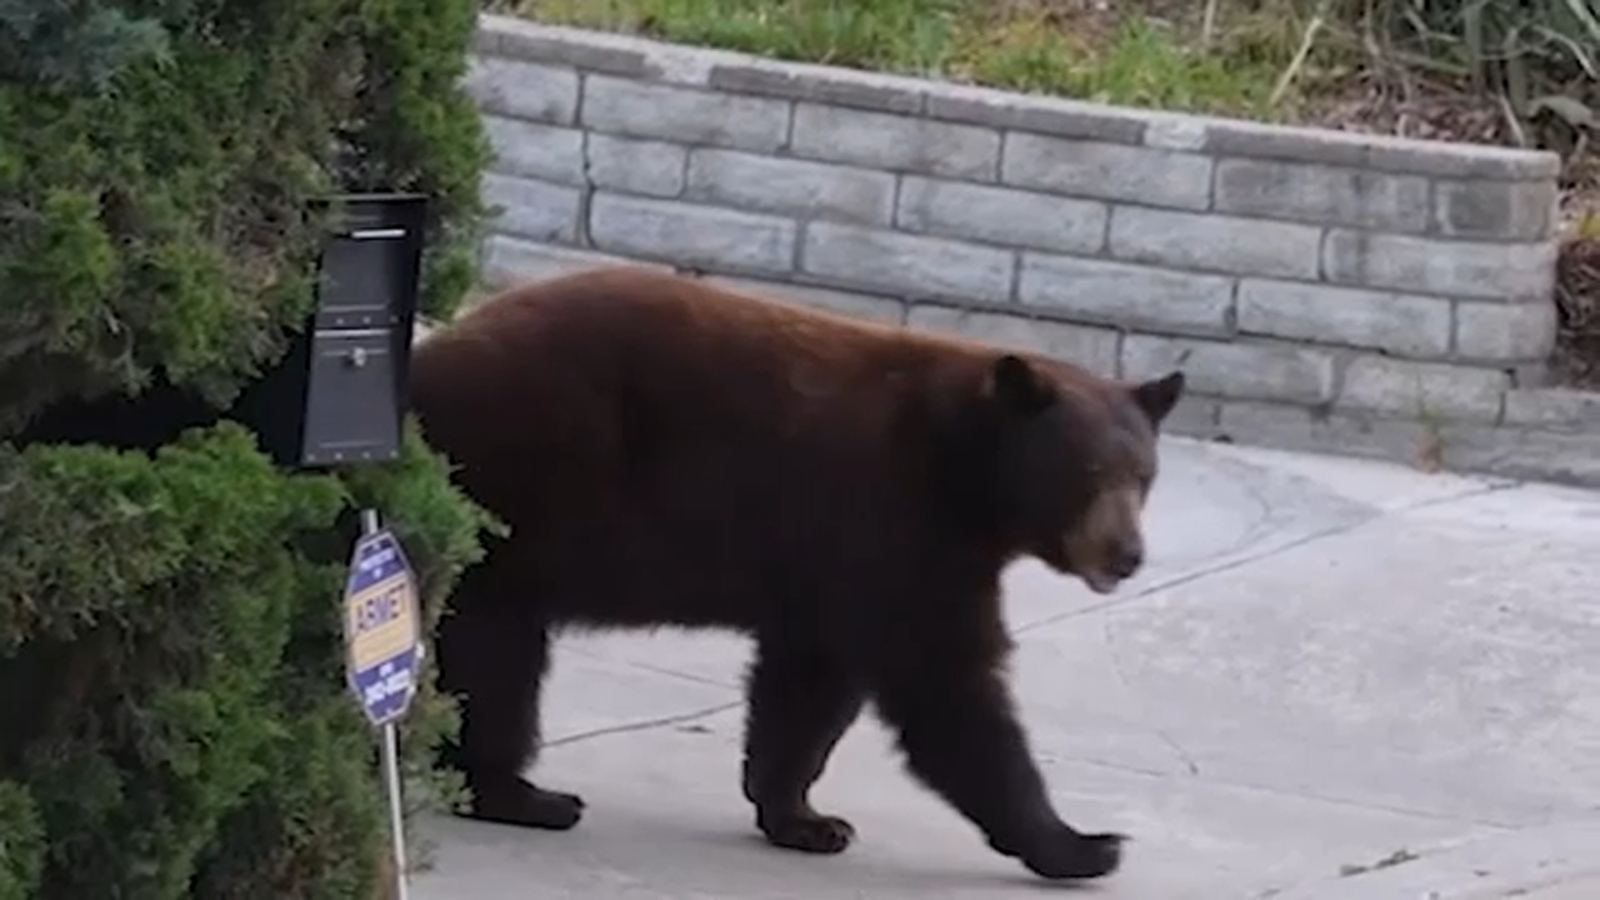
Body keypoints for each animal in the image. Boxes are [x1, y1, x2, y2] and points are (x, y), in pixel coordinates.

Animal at [407, 265, 1185, 882]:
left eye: (1144, 475)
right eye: (1088, 472)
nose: (1126, 554)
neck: (967, 470)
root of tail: (427, 363)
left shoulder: (833, 566)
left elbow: (809, 685)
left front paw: (803, 817)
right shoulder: (897, 523)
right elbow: (949, 685)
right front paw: (1085, 844)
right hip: (521, 488)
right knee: (494, 661)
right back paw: (519, 794)